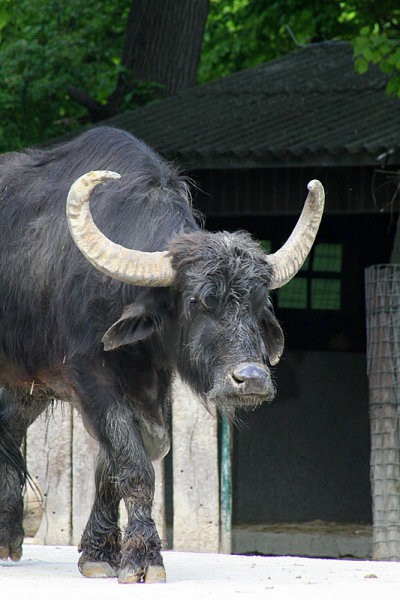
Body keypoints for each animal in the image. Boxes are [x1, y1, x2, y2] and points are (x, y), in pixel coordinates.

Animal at [0, 125, 322, 580]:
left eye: (259, 304)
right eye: (198, 301)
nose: (252, 380)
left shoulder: (149, 385)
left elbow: (121, 461)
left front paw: (98, 552)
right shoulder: (89, 379)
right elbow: (133, 464)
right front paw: (142, 556)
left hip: (28, 381)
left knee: (8, 426)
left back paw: (8, 534)